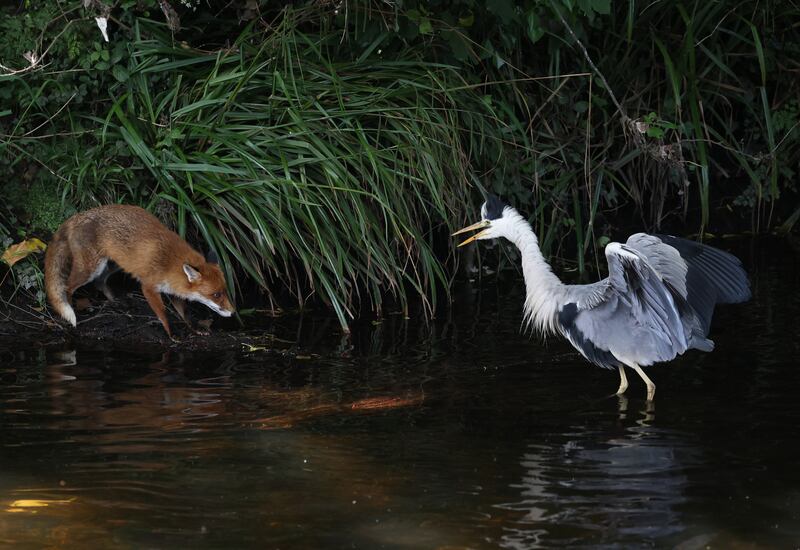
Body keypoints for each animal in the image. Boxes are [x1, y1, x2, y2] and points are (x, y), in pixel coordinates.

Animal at [44, 204, 235, 337]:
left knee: (100, 282)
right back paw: (71, 311)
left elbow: (185, 312)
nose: (233, 311)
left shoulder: (174, 289)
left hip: (115, 264)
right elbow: (163, 313)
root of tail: (77, 216)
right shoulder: (149, 287)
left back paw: (116, 302)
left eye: (225, 291)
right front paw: (172, 334)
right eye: (216, 294)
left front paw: (195, 327)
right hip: (90, 268)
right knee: (67, 287)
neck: (170, 263)